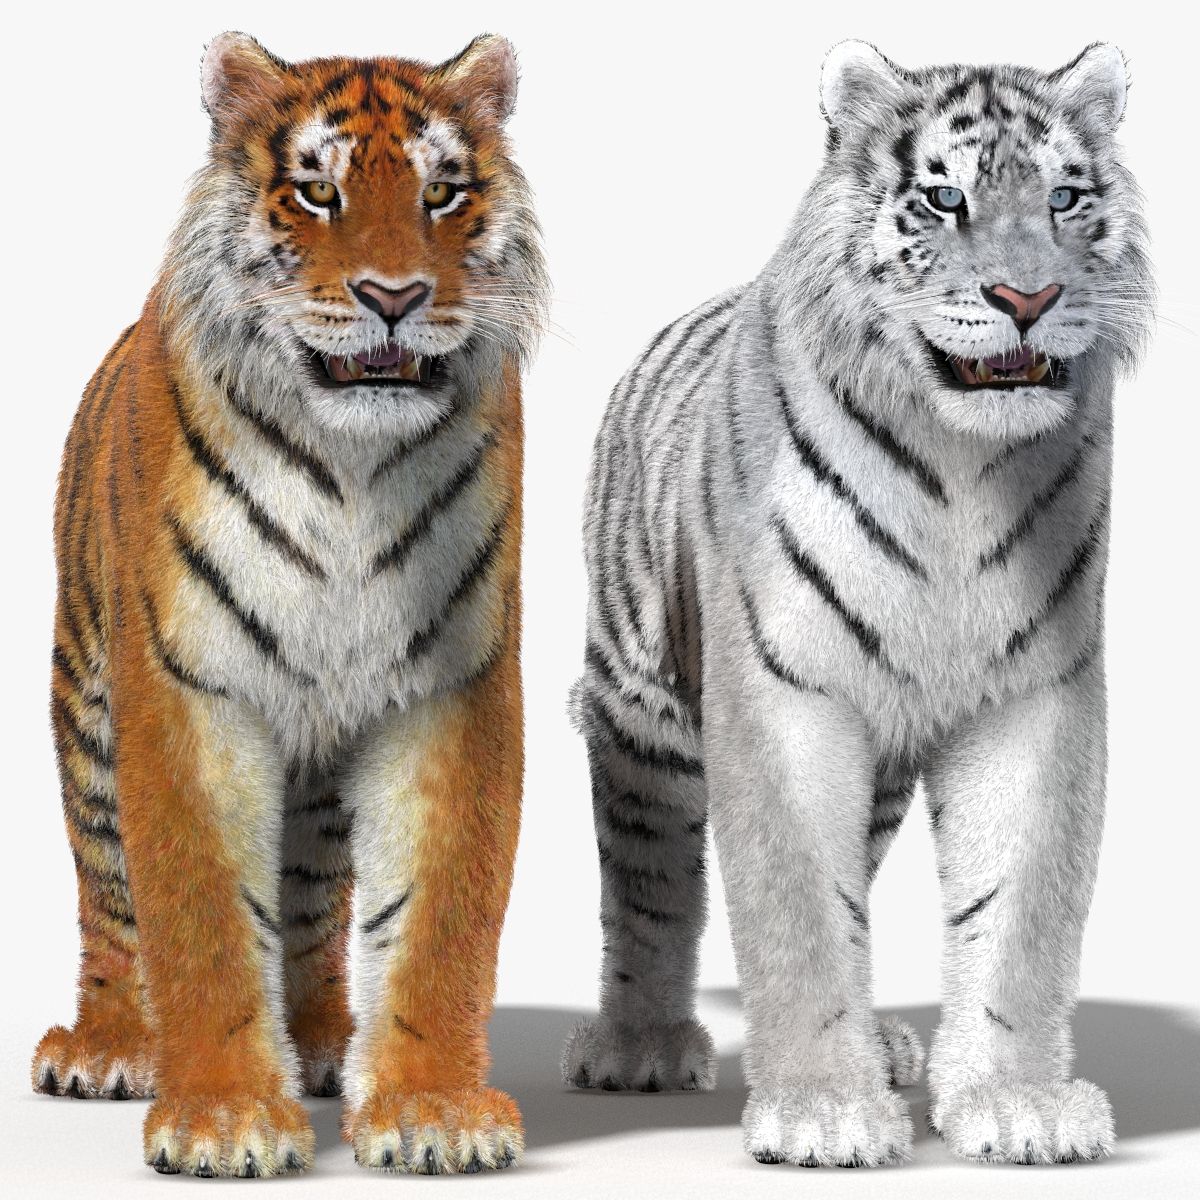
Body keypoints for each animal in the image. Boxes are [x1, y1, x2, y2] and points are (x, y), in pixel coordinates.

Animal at [31, 31, 547, 1178]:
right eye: (317, 191)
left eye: (443, 191)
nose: (394, 296)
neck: (350, 469)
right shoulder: (188, 691)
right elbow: (204, 919)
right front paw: (222, 1120)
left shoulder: (449, 687)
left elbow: (436, 916)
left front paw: (431, 1110)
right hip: (87, 711)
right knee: (110, 894)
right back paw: (108, 1046)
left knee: (312, 905)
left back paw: (318, 1041)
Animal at [563, 41, 1152, 1168]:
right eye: (943, 197)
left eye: (1064, 199)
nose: (1029, 296)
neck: (960, 468)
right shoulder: (782, 689)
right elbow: (797, 907)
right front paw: (823, 1111)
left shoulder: (1036, 692)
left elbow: (1017, 912)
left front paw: (1015, 1101)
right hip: (641, 713)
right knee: (647, 879)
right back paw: (641, 1045)